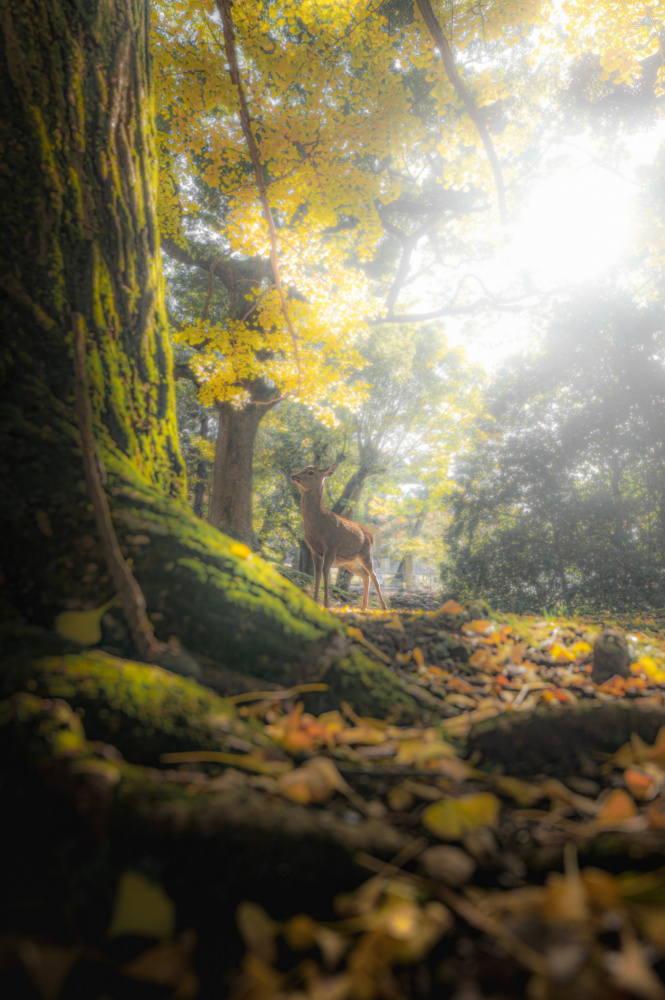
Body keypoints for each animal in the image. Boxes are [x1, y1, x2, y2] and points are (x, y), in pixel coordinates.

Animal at [291, 463, 388, 612]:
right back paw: (363, 607)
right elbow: (317, 573)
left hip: (366, 554)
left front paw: (326, 605)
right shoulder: (313, 549)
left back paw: (383, 607)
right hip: (350, 562)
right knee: (365, 575)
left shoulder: (331, 546)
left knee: (374, 576)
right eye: (303, 469)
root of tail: (373, 535)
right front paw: (315, 601)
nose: (293, 476)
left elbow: (325, 572)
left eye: (311, 472)